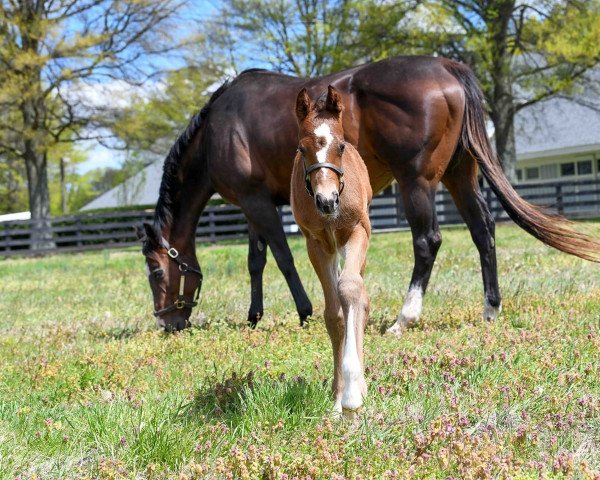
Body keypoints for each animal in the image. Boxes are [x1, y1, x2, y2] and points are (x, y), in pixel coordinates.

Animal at [137, 55, 600, 330]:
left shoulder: (257, 205)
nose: (167, 323)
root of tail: (447, 67)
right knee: (483, 231)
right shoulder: (258, 204)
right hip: (459, 176)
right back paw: (490, 308)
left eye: (156, 271)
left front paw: (303, 312)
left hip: (416, 182)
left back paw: (404, 317)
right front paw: (254, 317)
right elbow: (257, 262)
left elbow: (283, 259)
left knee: (428, 241)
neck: (220, 129)